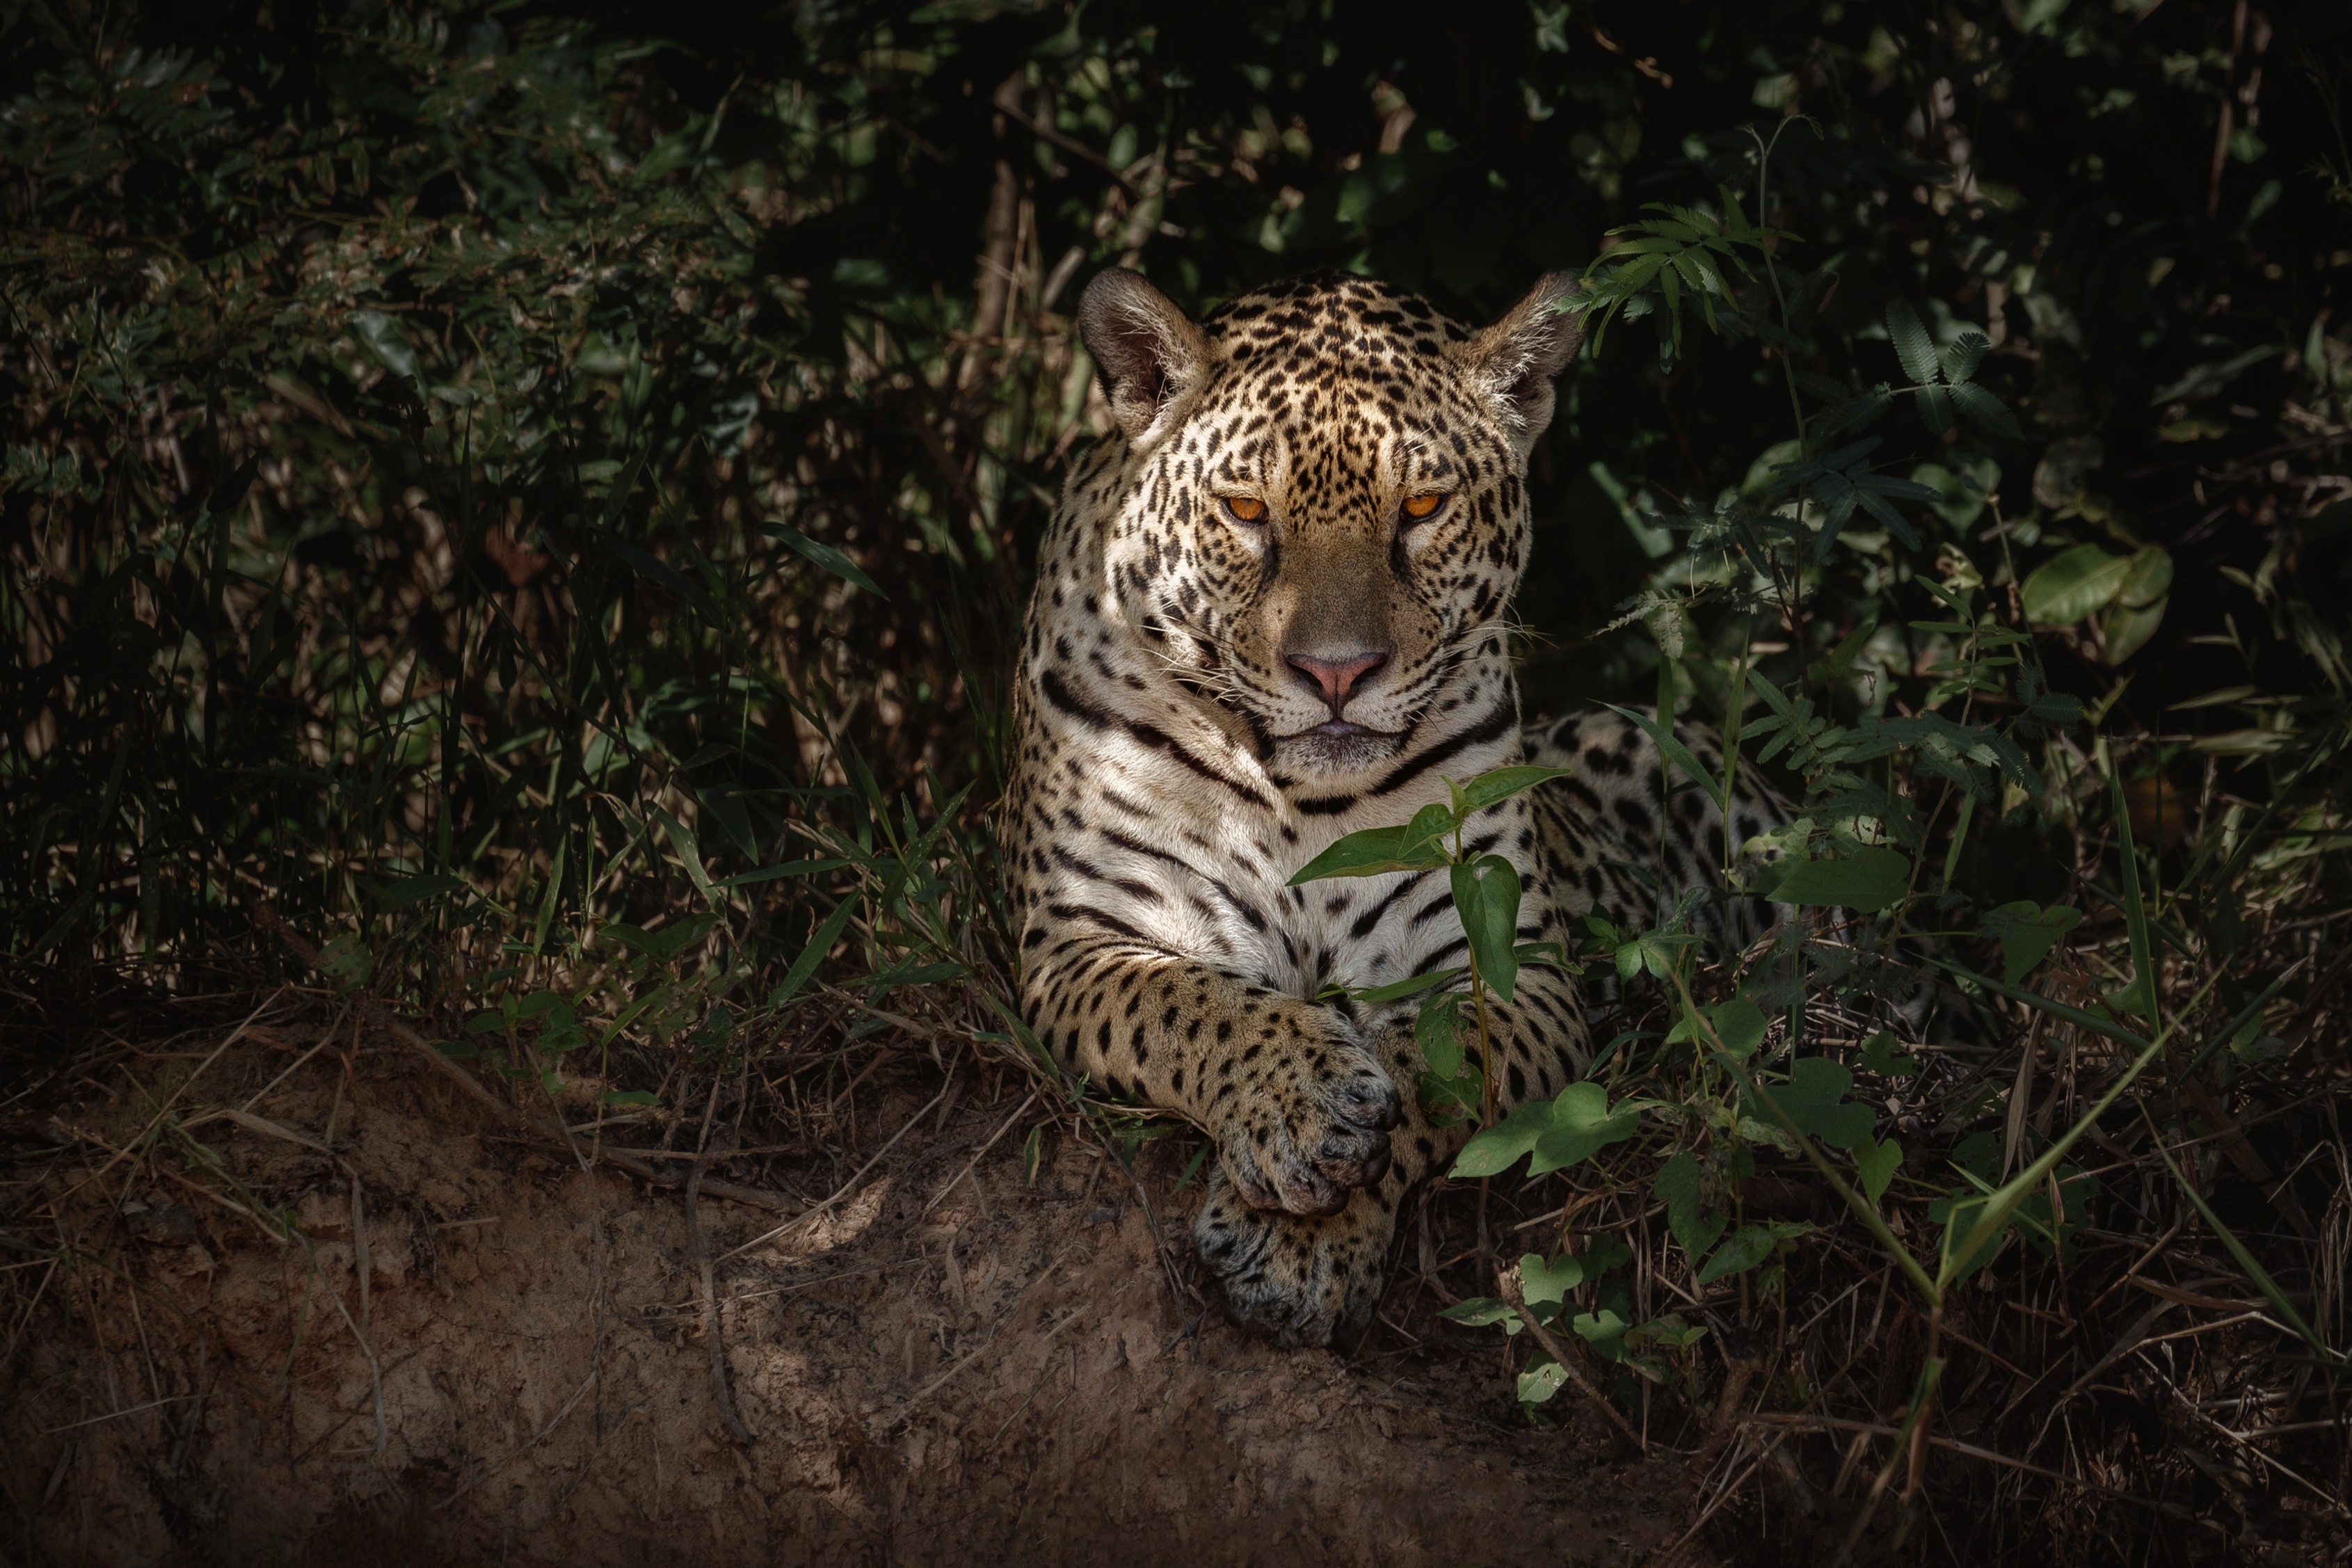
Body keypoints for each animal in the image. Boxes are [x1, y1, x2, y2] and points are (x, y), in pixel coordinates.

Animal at [1002, 267, 1794, 1348]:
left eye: (1420, 506)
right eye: (1245, 509)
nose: (1337, 672)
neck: (1294, 799)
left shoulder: (1508, 964)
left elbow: (1434, 1064)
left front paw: (1298, 1244)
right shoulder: (1081, 937)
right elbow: (1184, 1005)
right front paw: (1308, 1103)